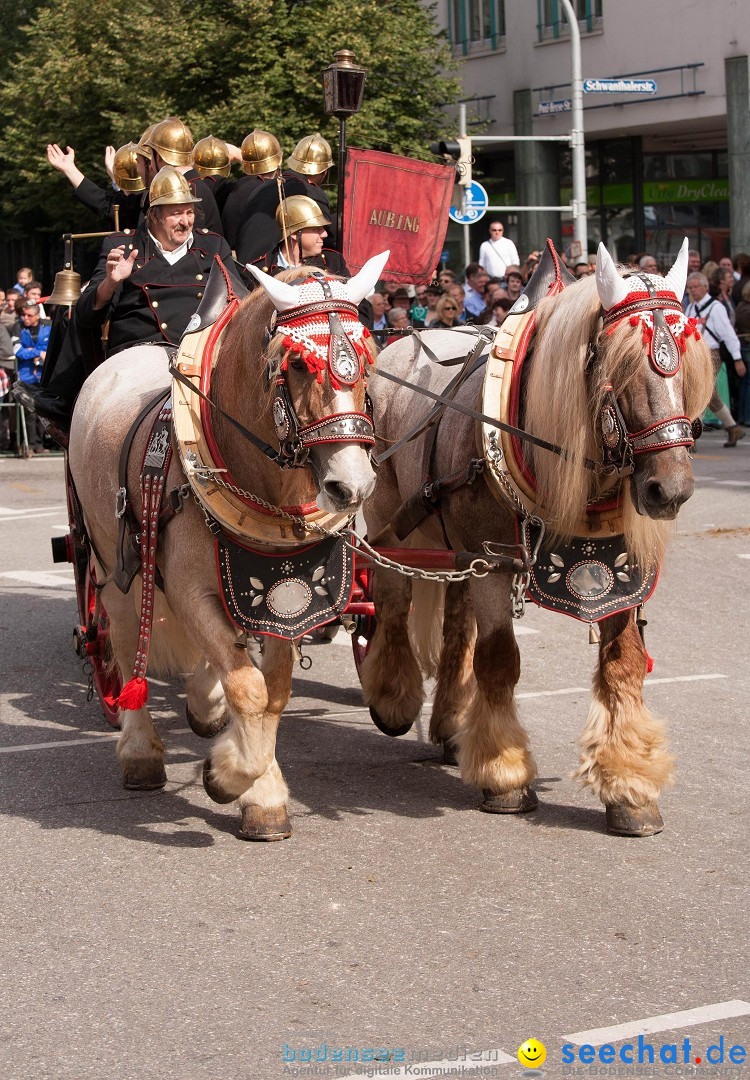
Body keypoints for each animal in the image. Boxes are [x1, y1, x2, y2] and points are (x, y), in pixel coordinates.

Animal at [67, 254, 386, 842]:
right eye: (299, 364)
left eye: (368, 360)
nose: (350, 487)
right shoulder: (191, 592)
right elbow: (249, 689)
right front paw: (231, 776)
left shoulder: (284, 598)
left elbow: (272, 690)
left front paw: (258, 789)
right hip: (112, 564)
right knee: (122, 642)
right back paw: (140, 750)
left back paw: (204, 703)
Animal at [365, 243, 717, 833]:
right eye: (622, 368)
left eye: (686, 371)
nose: (669, 490)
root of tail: (396, 346)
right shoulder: (496, 561)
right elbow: (499, 660)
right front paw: (505, 774)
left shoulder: (620, 572)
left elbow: (622, 664)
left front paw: (630, 786)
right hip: (387, 511)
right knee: (391, 592)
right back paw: (393, 697)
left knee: (456, 624)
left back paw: (453, 725)